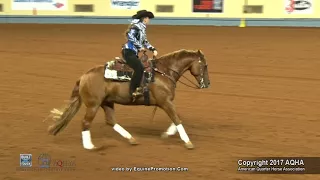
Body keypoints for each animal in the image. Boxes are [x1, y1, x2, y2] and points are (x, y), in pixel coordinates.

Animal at [45, 48, 210, 150]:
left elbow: (177, 118)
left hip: (107, 102)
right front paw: (188, 142)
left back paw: (131, 139)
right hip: (93, 105)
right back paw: (89, 146)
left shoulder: (166, 102)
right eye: (205, 65)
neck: (163, 72)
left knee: (110, 121)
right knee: (86, 122)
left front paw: (167, 134)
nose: (207, 84)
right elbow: (177, 119)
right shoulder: (165, 102)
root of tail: (83, 76)